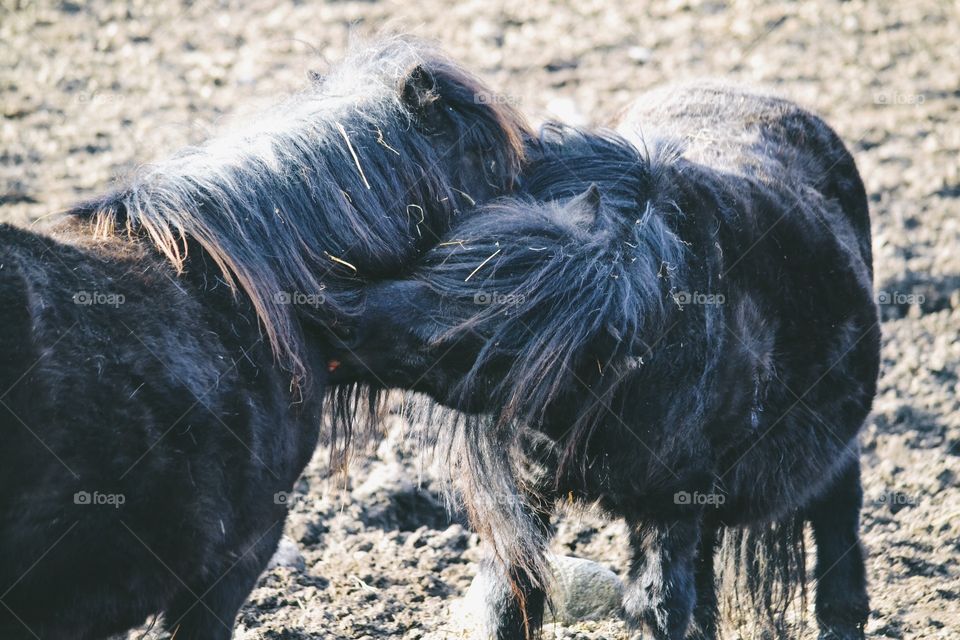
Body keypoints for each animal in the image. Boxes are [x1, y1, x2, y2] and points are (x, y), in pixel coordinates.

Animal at [328, 82, 876, 636]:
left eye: (489, 341)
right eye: (438, 259)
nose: (341, 314)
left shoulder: (670, 505)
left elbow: (656, 603)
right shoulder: (531, 490)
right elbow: (509, 592)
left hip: (825, 461)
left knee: (838, 516)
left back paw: (842, 617)